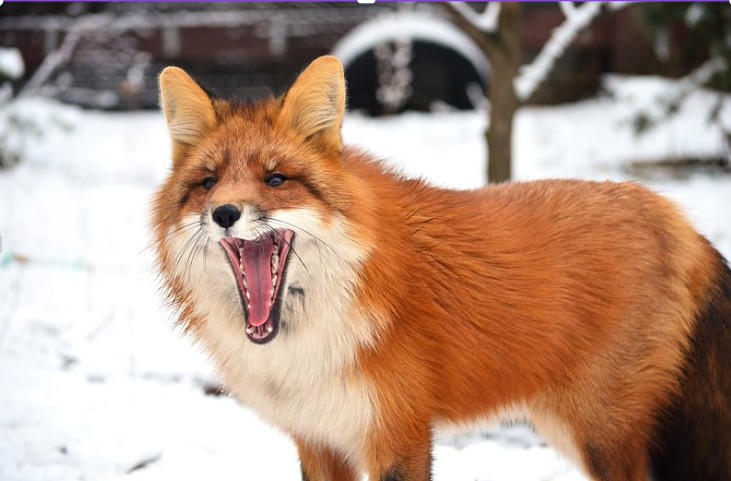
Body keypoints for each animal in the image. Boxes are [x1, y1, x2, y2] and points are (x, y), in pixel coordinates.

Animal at [150, 56, 731, 480]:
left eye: (275, 180)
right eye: (207, 183)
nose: (224, 213)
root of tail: (674, 214)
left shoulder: (399, 433)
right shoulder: (318, 439)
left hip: (600, 434)